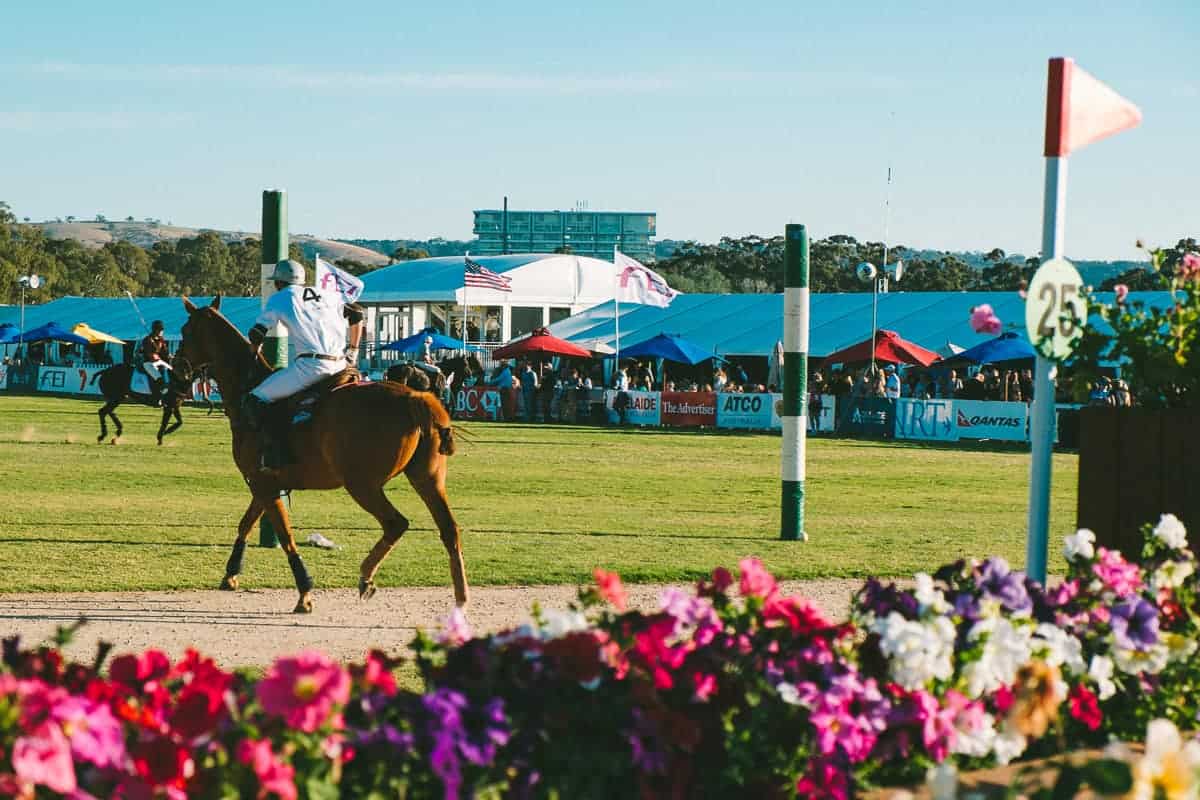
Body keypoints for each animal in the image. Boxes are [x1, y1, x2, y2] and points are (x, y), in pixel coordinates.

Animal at [170, 297, 468, 618]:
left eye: (186, 330)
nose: (176, 367)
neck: (246, 388)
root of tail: (417, 398)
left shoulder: (262, 483)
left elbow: (285, 536)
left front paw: (304, 594)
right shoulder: (265, 482)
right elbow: (246, 523)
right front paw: (231, 573)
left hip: (361, 484)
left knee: (396, 523)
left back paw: (366, 575)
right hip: (428, 477)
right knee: (449, 529)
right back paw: (461, 597)